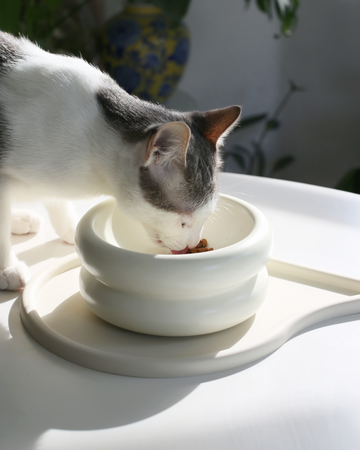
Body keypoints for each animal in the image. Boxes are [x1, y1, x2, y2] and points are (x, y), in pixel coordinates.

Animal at [0, 32, 242, 292]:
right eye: (183, 222)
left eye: (205, 217)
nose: (192, 244)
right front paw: (6, 268)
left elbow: (56, 200)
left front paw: (69, 226)